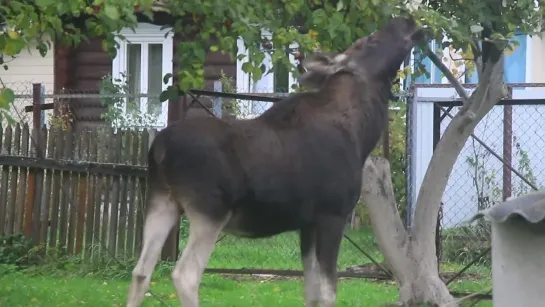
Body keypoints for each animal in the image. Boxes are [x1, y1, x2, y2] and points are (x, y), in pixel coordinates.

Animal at [125, 16, 422, 307]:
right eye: (370, 41)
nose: (406, 19)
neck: (361, 133)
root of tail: (160, 148)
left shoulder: (307, 224)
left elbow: (311, 291)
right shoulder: (332, 214)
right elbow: (328, 292)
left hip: (162, 201)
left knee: (141, 271)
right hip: (209, 210)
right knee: (185, 275)